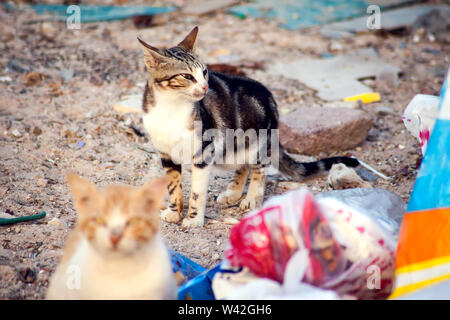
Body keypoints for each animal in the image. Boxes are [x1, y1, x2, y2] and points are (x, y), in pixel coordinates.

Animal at [137, 26, 358, 228]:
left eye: (204, 72)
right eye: (187, 76)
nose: (205, 87)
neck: (170, 108)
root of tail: (273, 105)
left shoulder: (203, 153)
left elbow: (197, 193)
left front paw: (193, 219)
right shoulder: (166, 154)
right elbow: (173, 186)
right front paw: (175, 212)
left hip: (254, 143)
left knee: (260, 168)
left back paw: (252, 198)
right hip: (231, 149)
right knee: (242, 166)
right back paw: (233, 193)